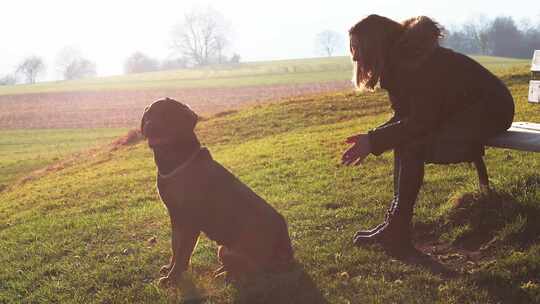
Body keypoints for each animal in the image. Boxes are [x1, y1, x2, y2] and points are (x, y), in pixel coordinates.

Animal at [139, 97, 292, 284]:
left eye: (166, 114)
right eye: (148, 114)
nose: (149, 125)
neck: (177, 160)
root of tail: (288, 254)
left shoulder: (189, 221)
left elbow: (182, 253)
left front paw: (173, 278)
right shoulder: (175, 216)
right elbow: (175, 246)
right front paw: (169, 269)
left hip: (233, 250)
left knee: (253, 271)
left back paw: (225, 275)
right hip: (223, 249)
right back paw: (221, 271)